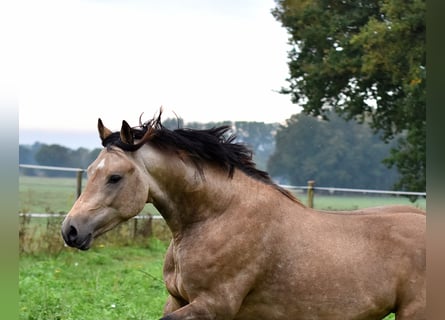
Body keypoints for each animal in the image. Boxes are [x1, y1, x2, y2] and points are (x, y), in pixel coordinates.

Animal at [60, 110, 424, 320]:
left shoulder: (214, 305)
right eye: (90, 171)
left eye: (114, 177)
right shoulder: (177, 301)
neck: (217, 218)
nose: (70, 230)